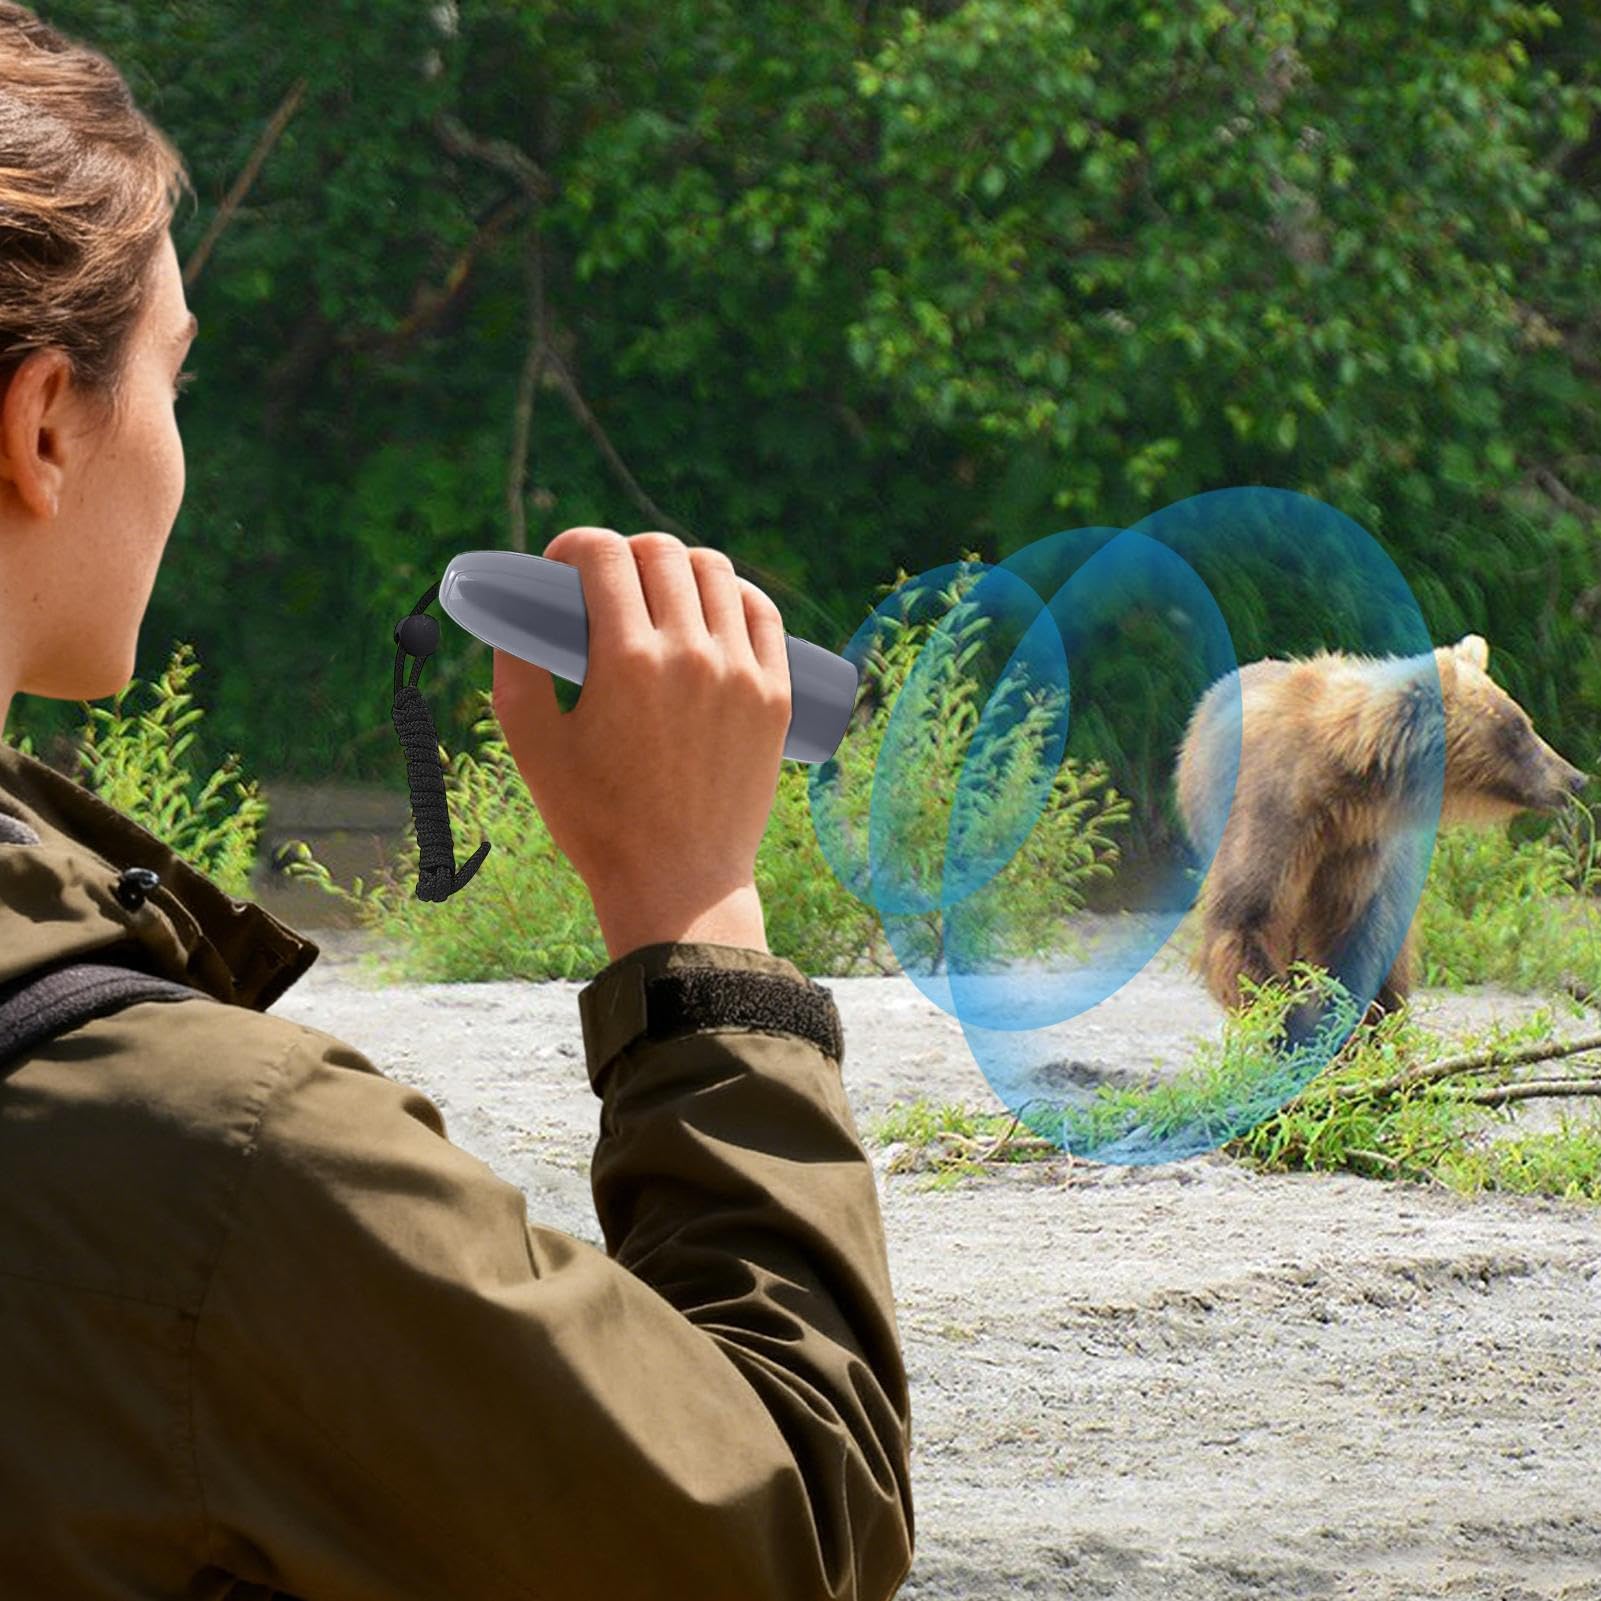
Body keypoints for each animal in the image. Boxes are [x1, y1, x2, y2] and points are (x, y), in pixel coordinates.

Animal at [1175, 634, 1587, 1025]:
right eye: (1518, 728)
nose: (1575, 778)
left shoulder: (1359, 846)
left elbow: (1353, 936)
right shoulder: (1274, 814)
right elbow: (1244, 921)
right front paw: (1287, 1021)